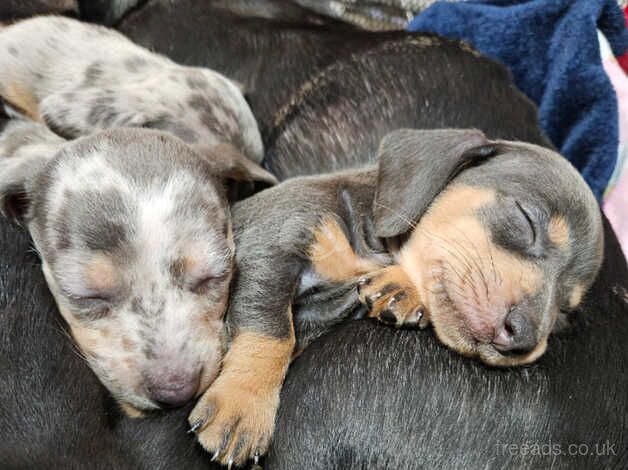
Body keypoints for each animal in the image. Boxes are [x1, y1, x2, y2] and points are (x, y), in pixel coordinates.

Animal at [186, 126, 604, 464]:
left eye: (564, 312)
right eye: (526, 219)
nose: (524, 339)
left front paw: (403, 288)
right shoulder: (269, 245)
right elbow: (271, 332)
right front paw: (243, 403)